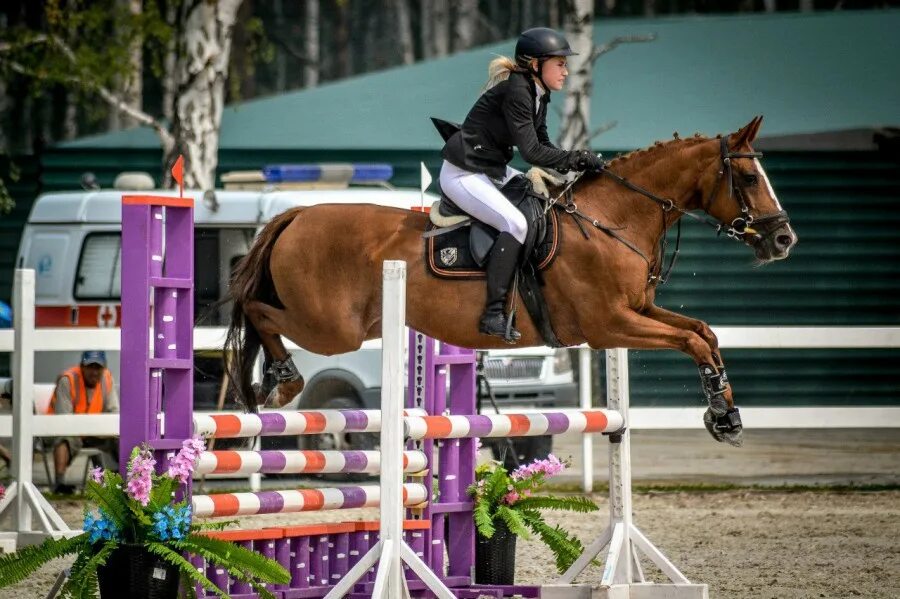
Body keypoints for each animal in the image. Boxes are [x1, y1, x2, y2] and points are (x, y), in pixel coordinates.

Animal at [223, 115, 796, 448]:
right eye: (748, 178)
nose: (783, 239)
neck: (614, 219)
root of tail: (298, 213)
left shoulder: (638, 311)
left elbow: (703, 333)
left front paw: (725, 415)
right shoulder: (609, 325)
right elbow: (690, 340)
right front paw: (722, 414)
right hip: (332, 329)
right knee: (256, 309)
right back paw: (282, 379)